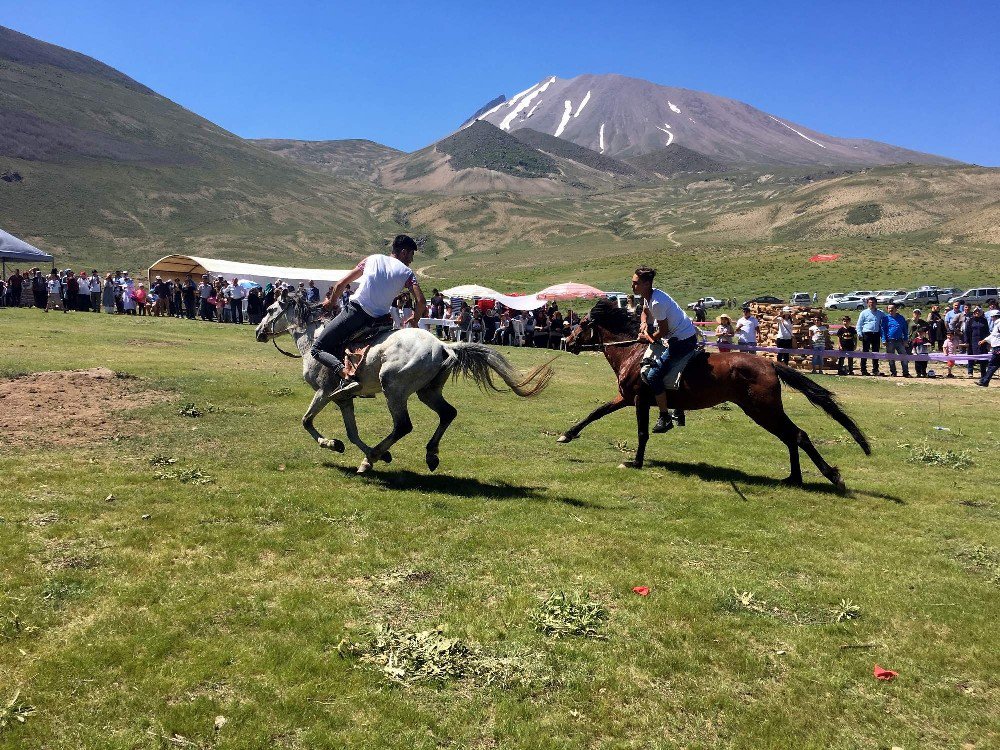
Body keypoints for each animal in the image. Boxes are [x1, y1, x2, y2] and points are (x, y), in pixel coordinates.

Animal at [256, 290, 556, 472]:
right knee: (448, 413)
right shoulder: (343, 399)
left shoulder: (324, 392)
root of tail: (442, 345)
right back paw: (429, 455)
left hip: (394, 388)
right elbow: (352, 432)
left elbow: (307, 421)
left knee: (403, 425)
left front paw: (333, 444)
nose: (259, 332)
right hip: (427, 391)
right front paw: (364, 450)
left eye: (270, 309)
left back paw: (371, 459)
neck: (313, 342)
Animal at [560, 302, 872, 490]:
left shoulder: (637, 400)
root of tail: (770, 363)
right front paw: (567, 434)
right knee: (792, 436)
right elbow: (596, 412)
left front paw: (635, 462)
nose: (566, 342)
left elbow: (641, 432)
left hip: (762, 409)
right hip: (764, 410)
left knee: (797, 435)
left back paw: (830, 476)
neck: (634, 354)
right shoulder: (624, 398)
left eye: (582, 324)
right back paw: (794, 478)